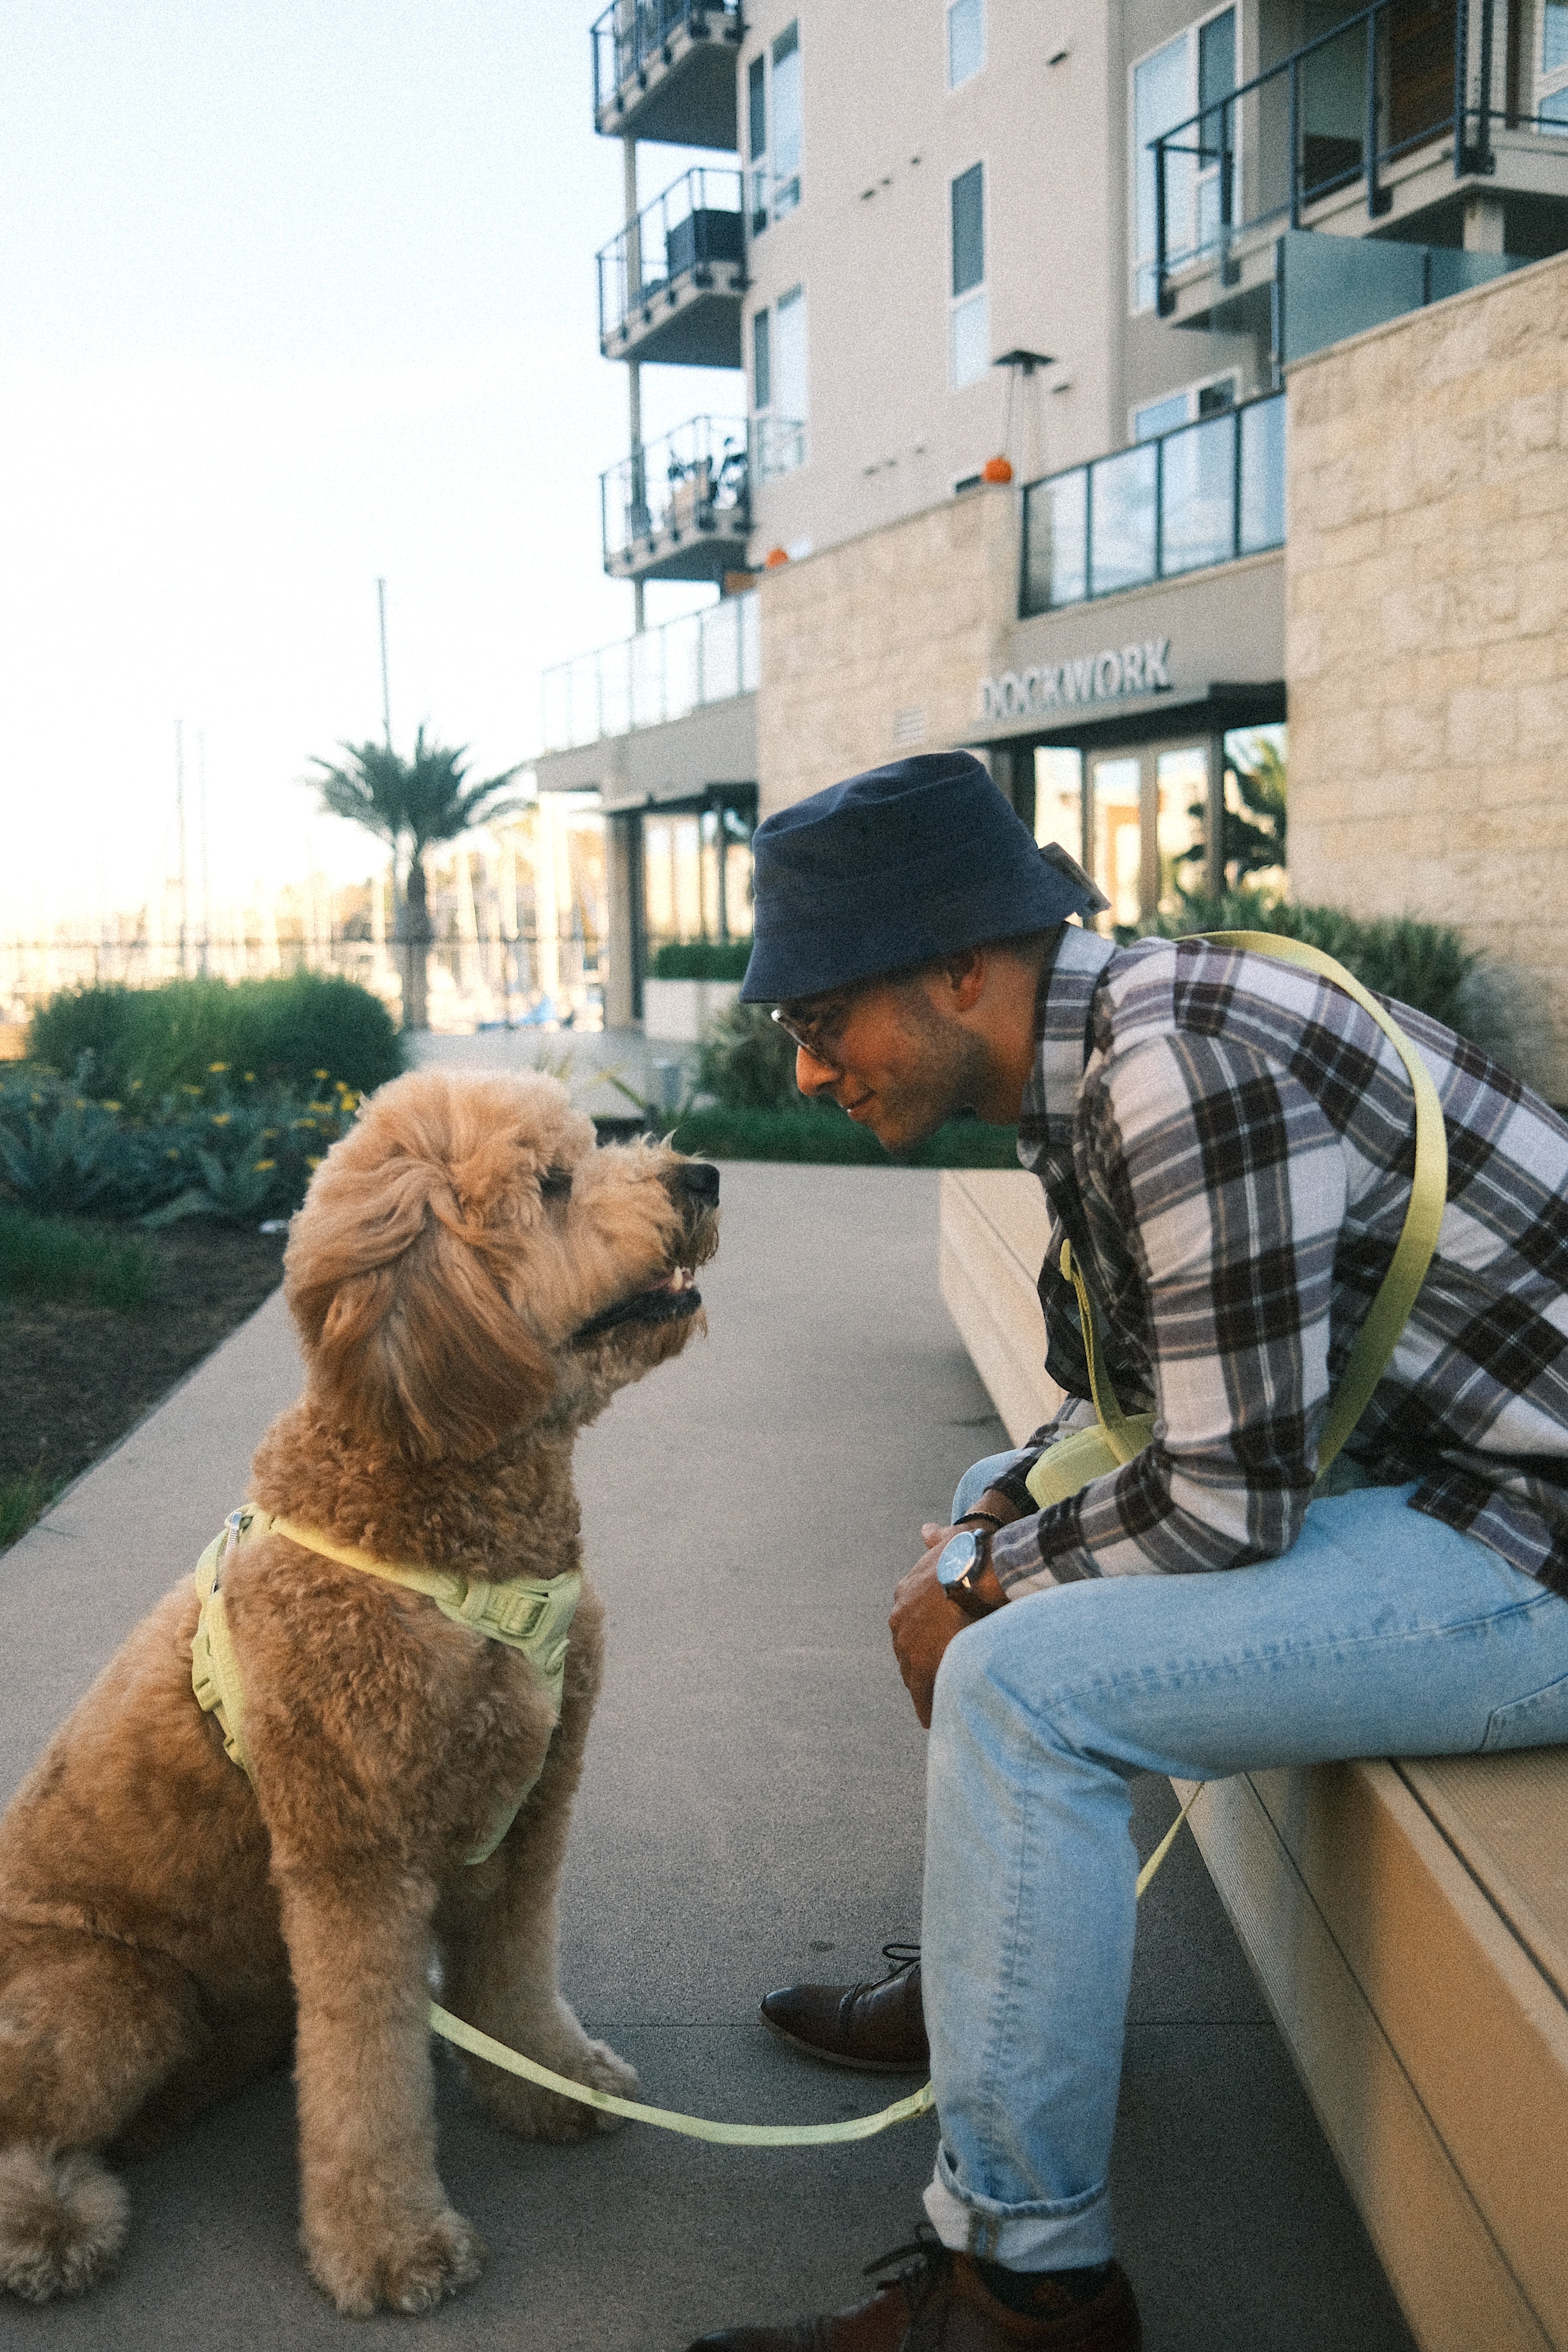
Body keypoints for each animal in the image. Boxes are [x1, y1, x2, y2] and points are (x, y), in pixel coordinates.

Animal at [0, 1072, 719, 2314]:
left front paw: (552, 2083)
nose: (706, 1175)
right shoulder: (356, 1859)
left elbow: (514, 1974)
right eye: (552, 1184)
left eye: (590, 1145)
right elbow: (366, 2076)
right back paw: (50, 2226)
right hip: (112, 1992)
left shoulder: (527, 1818)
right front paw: (389, 2245)